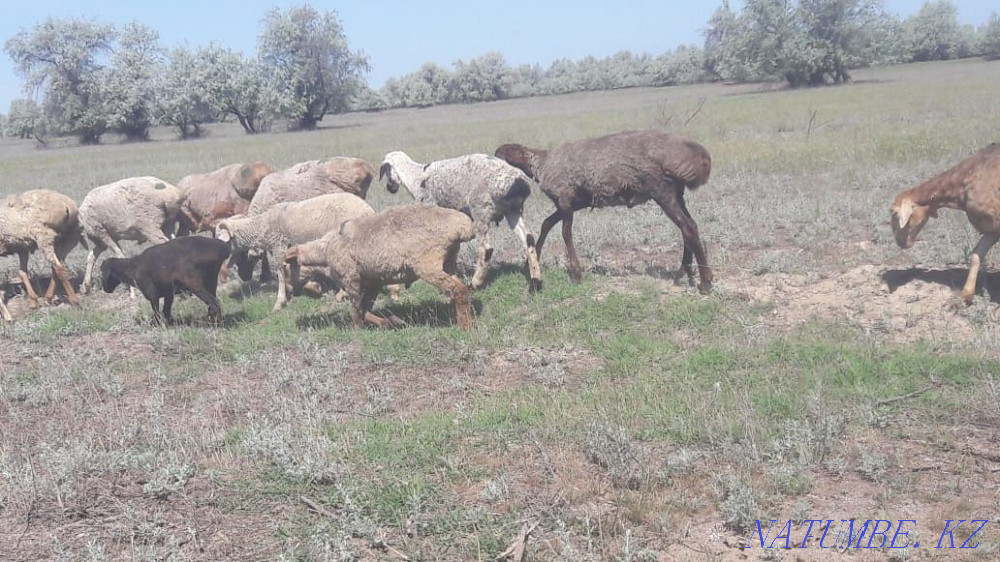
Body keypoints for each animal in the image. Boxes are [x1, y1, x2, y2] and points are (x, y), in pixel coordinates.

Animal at [101, 236, 230, 326]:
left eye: (102, 272)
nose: (106, 290)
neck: (132, 267)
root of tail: (223, 248)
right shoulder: (169, 293)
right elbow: (166, 310)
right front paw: (170, 324)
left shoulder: (152, 294)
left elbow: (157, 312)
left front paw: (156, 325)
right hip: (211, 281)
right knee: (213, 303)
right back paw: (213, 322)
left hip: (195, 284)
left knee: (214, 304)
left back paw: (216, 325)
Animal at [215, 193, 377, 311]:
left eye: (220, 239)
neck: (264, 224)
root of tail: (369, 210)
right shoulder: (290, 250)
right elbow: (292, 272)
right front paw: (309, 286)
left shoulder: (279, 246)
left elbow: (280, 274)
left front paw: (280, 302)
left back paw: (344, 292)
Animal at [285, 204, 475, 330]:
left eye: (286, 267)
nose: (291, 292)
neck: (324, 251)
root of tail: (462, 227)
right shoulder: (373, 282)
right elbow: (365, 308)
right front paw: (390, 322)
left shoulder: (350, 278)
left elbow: (356, 310)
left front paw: (357, 331)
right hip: (449, 262)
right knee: (459, 289)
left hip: (428, 264)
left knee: (458, 289)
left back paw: (465, 327)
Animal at [379, 151, 542, 291]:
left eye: (386, 172)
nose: (389, 188)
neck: (416, 176)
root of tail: (518, 184)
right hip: (513, 211)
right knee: (528, 239)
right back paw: (535, 282)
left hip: (480, 209)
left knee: (486, 249)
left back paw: (475, 283)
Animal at [495, 129, 714, 292]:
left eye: (498, 157)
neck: (540, 164)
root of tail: (692, 154)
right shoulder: (573, 203)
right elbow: (546, 224)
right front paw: (531, 262)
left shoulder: (565, 200)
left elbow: (565, 233)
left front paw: (576, 274)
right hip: (676, 193)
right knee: (689, 227)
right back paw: (683, 274)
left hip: (662, 191)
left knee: (688, 228)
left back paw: (705, 282)